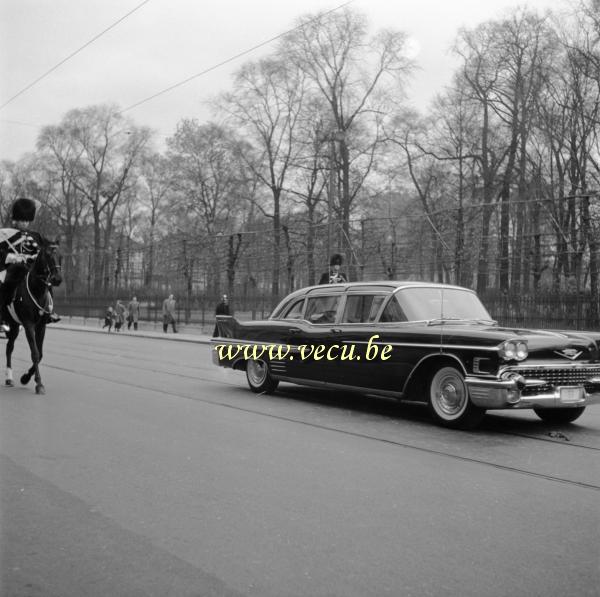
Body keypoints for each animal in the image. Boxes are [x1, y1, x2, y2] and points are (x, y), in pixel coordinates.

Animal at [3, 235, 62, 394]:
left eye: (61, 256)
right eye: (47, 254)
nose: (57, 279)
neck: (37, 290)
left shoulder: (41, 326)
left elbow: (39, 353)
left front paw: (26, 378)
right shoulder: (28, 324)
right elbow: (35, 353)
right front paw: (39, 383)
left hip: (14, 325)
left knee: (9, 347)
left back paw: (9, 378)